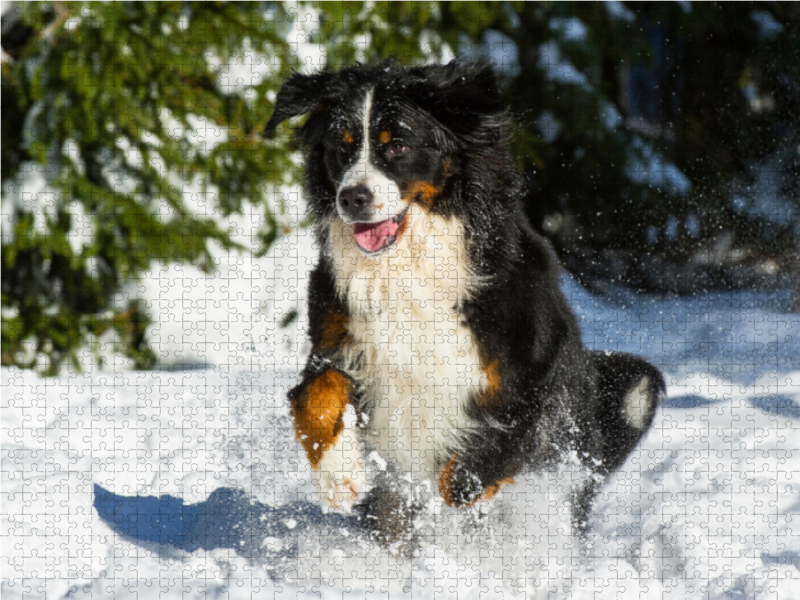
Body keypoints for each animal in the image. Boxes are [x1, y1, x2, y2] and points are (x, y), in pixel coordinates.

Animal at [262, 57, 664, 536]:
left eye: (398, 146)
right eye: (342, 148)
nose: (352, 198)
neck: (408, 267)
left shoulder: (530, 376)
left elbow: (475, 469)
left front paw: (454, 514)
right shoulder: (338, 341)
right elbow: (315, 395)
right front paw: (339, 476)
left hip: (631, 390)